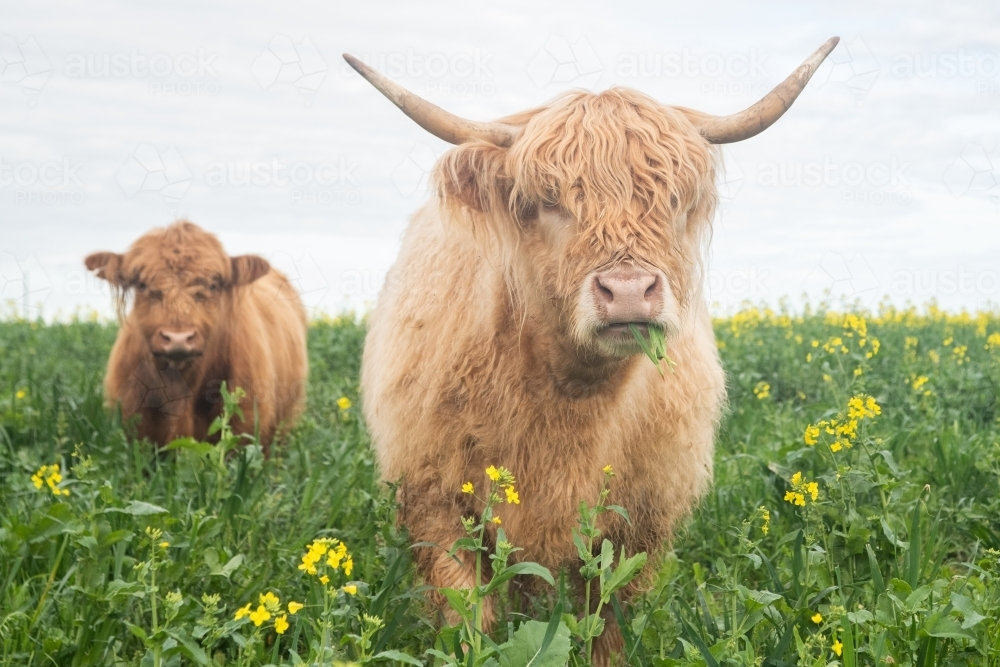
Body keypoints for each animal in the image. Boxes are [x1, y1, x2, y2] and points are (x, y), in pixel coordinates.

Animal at [349, 37, 839, 663]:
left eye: (673, 200)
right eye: (547, 200)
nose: (628, 291)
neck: (570, 400)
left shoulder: (638, 522)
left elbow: (605, 622)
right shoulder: (436, 505)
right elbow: (469, 622)